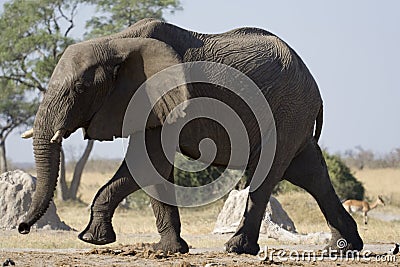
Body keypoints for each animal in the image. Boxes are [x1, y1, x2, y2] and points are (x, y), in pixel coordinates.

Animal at [18, 18, 362, 255]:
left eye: (79, 88)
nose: (22, 228)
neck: (116, 42)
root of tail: (315, 88)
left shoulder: (162, 96)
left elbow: (146, 165)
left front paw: (92, 239)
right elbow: (151, 168)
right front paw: (168, 250)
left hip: (286, 112)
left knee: (270, 171)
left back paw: (237, 248)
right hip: (294, 116)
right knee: (310, 173)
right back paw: (343, 247)